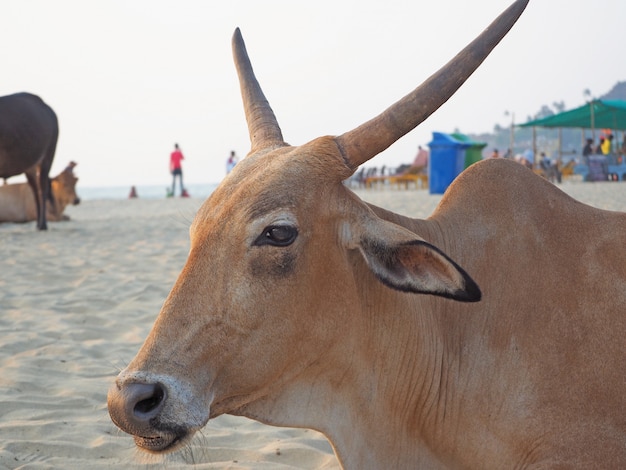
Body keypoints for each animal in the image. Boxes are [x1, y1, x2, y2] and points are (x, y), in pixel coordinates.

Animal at [0, 93, 58, 229]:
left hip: (48, 156)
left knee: (43, 189)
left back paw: (43, 224)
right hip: (30, 167)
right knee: (35, 190)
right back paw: (37, 224)